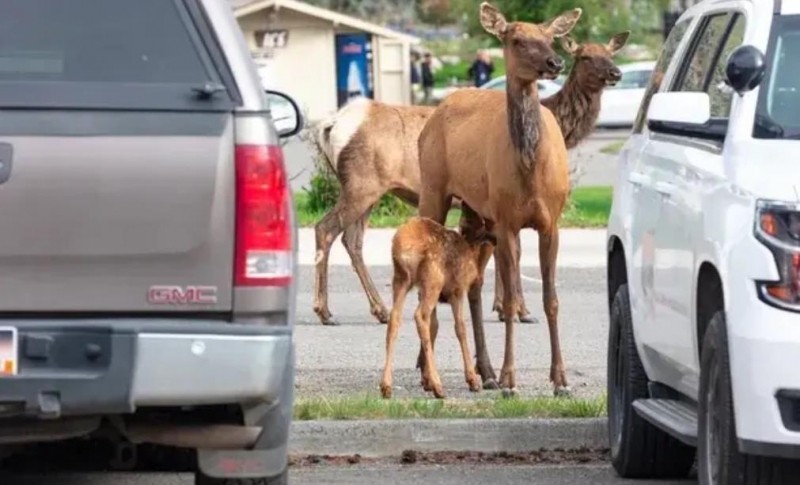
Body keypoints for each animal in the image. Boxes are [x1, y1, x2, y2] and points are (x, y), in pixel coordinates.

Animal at [376, 217, 494, 398]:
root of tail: (402, 245)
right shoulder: (457, 291)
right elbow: (460, 328)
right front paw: (472, 380)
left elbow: (434, 327)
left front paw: (426, 380)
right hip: (433, 278)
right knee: (420, 316)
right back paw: (438, 386)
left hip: (401, 279)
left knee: (395, 318)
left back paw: (386, 386)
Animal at [416, 1, 580, 394]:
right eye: (516, 39)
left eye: (551, 37)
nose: (555, 62)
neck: (531, 169)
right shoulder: (508, 221)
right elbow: (508, 301)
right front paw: (510, 379)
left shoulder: (550, 222)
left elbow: (551, 299)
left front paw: (560, 379)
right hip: (434, 188)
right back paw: (429, 373)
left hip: (477, 213)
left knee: (473, 285)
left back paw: (484, 371)